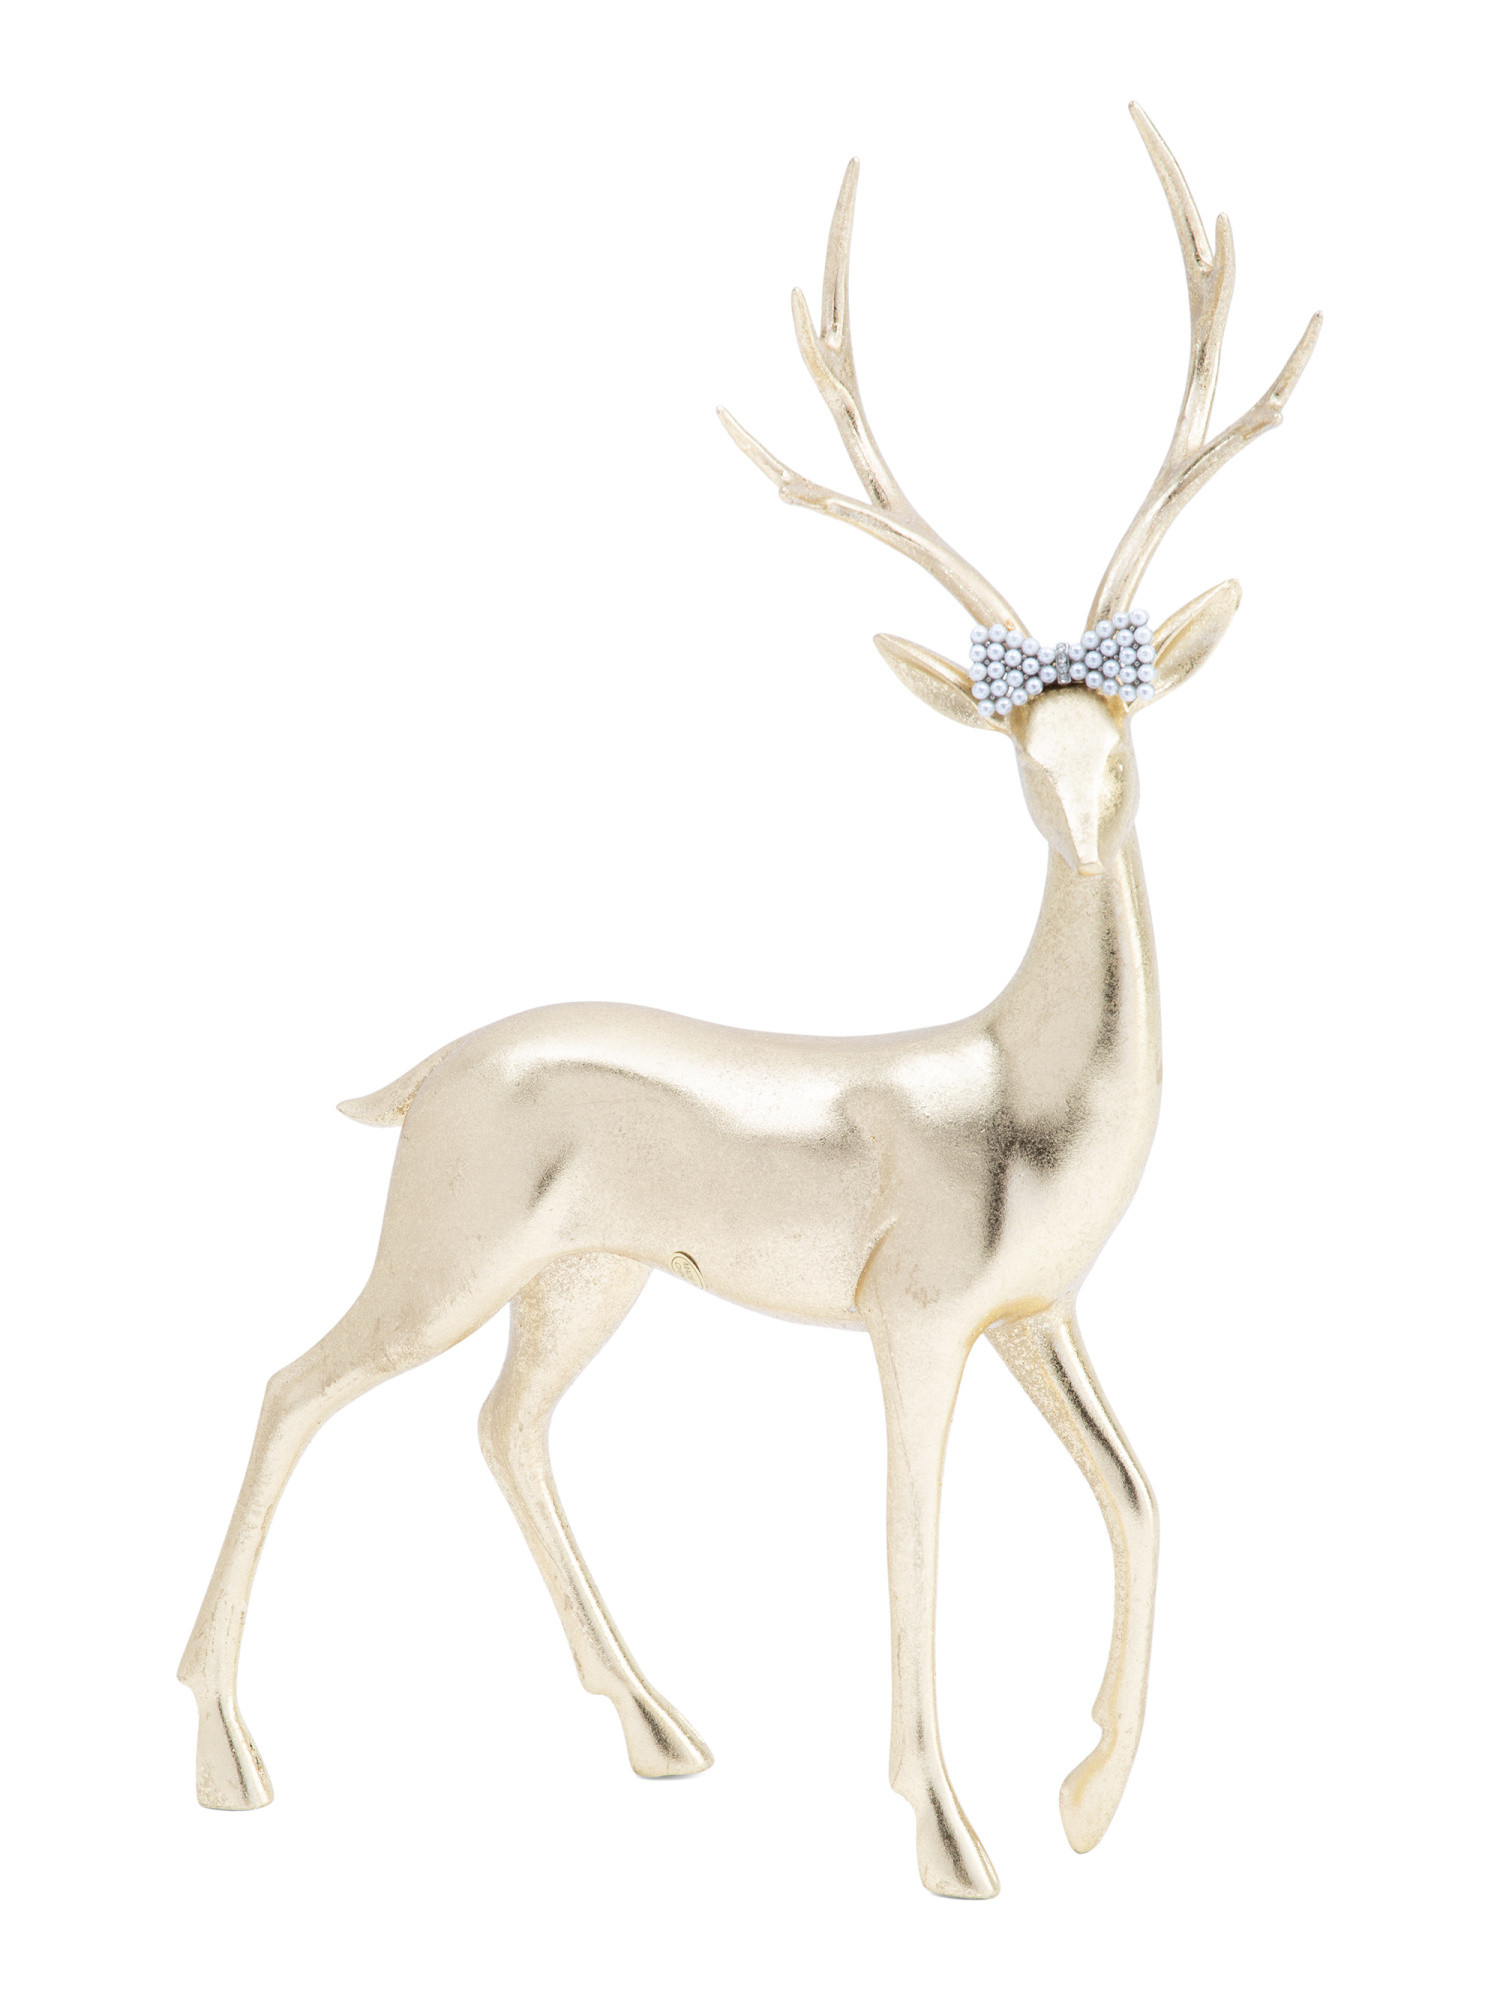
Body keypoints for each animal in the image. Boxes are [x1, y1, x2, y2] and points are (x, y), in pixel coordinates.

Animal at [179, 104, 1319, 1899]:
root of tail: (423, 1076)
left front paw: (1086, 1803)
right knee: (296, 1384)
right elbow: (912, 1539)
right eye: (1019, 746)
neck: (1030, 1092)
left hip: (585, 1277)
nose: (1083, 821)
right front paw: (953, 1838)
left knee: (503, 1423)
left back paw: (663, 1731)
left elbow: (1143, 1496)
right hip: (447, 1249)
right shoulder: (915, 1312)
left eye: (1123, 733)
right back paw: (228, 1755)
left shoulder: (1041, 1310)